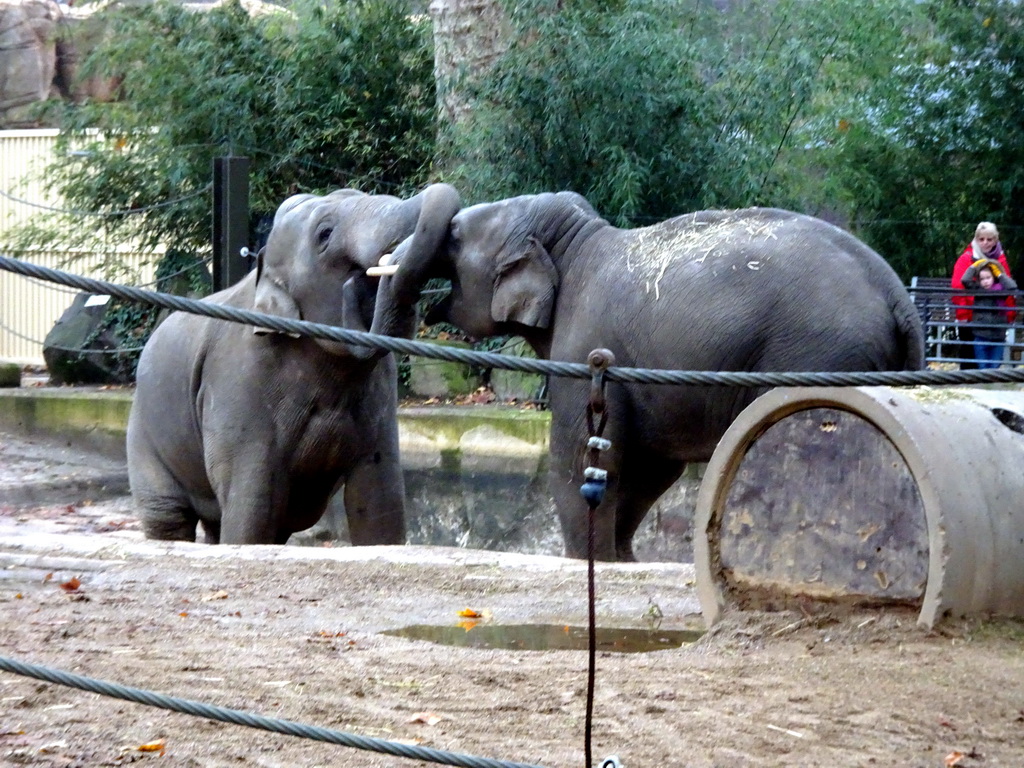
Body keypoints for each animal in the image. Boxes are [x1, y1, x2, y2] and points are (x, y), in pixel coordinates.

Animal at [126, 185, 460, 548]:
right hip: (144, 437)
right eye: (324, 234)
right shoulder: (238, 381)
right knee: (169, 517)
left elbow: (379, 501)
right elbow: (251, 509)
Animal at [411, 192, 925, 561]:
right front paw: (623, 560)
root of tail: (898, 296)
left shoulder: (589, 350)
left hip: (816, 355)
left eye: (455, 234)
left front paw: (589, 561)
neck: (574, 241)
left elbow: (581, 459)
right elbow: (650, 469)